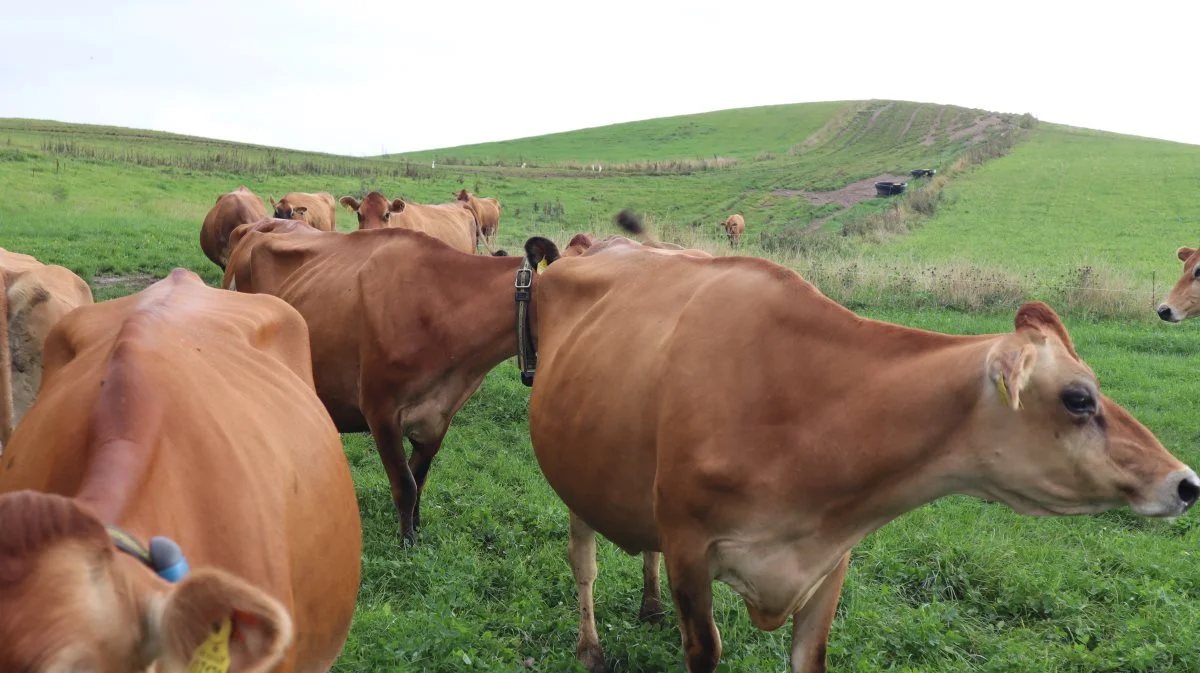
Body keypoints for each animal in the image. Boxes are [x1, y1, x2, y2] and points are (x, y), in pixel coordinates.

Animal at [225, 225, 540, 539]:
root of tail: (256, 227)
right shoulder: (380, 410)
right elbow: (405, 485)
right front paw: (406, 541)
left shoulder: (439, 418)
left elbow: (419, 479)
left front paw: (416, 529)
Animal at [520, 232, 1195, 671]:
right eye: (1079, 398)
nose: (1186, 482)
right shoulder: (690, 548)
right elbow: (703, 649)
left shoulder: (829, 560)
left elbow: (810, 657)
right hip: (572, 471)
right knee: (583, 559)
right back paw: (589, 647)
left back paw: (650, 606)